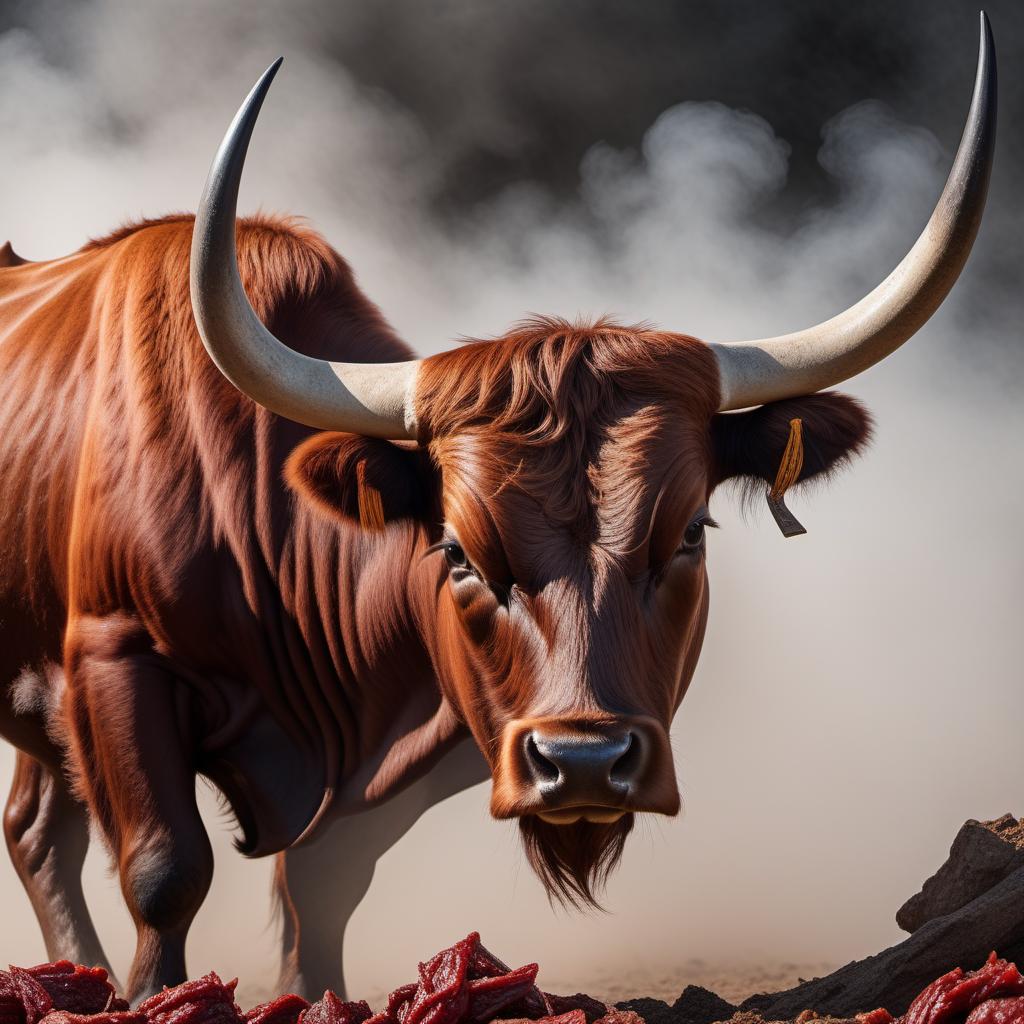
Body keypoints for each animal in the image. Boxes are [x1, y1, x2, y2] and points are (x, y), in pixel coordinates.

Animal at [0, 14, 991, 1007]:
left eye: (689, 536)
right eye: (459, 552)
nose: (586, 761)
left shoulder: (428, 736)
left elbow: (323, 880)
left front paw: (316, 991)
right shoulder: (114, 661)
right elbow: (168, 870)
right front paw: (148, 996)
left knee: (38, 830)